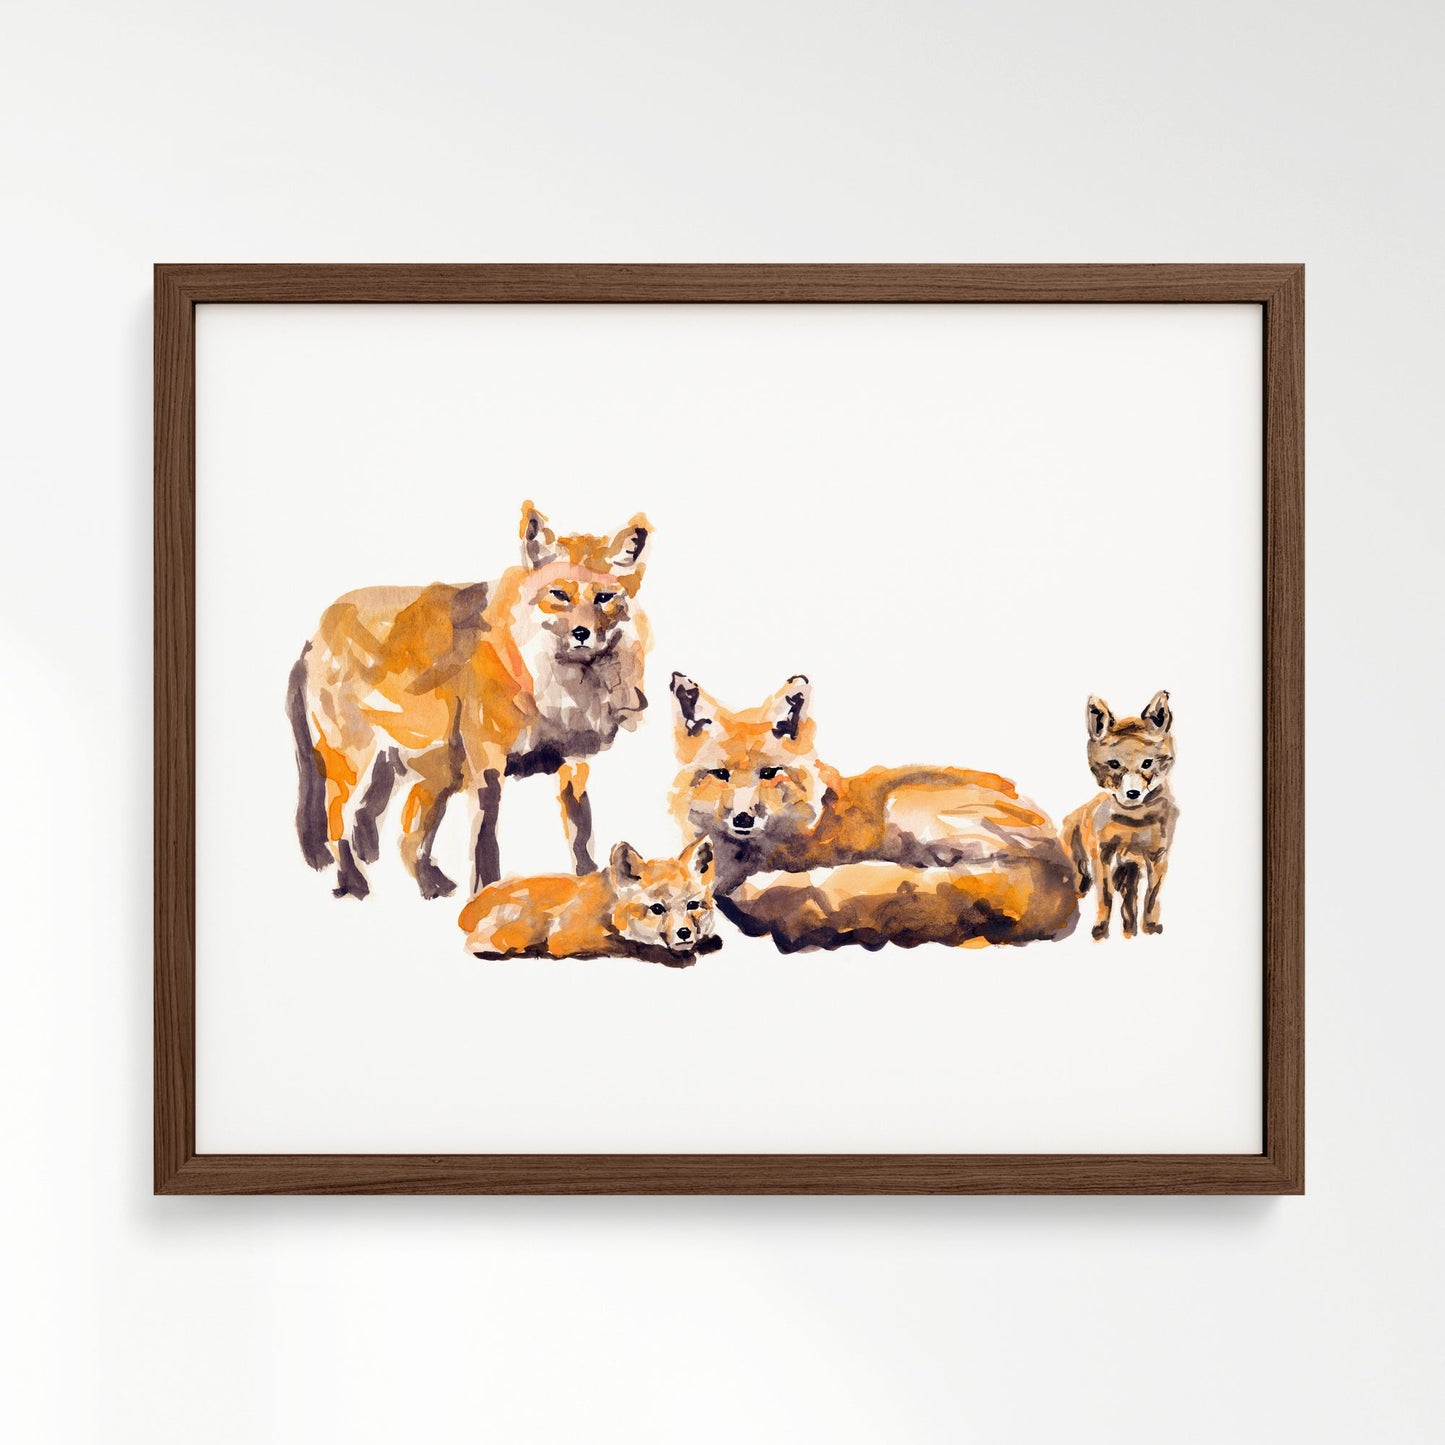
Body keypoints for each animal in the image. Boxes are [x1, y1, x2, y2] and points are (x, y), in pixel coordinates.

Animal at [287, 501, 652, 901]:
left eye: (603, 598)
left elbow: (580, 831)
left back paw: (420, 881)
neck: (558, 694)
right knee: (340, 822)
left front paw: (588, 881)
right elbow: (485, 840)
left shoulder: (575, 762)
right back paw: (356, 884)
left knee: (383, 827)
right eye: (559, 595)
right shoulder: (486, 762)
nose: (582, 633)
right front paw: (487, 891)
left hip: (420, 767)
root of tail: (316, 630)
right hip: (361, 763)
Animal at [458, 837, 719, 966]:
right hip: (524, 927)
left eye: (693, 905)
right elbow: (629, 945)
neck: (610, 907)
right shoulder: (566, 935)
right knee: (481, 945)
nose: (684, 933)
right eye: (657, 909)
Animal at [1062, 691, 1179, 940]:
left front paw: (1150, 926)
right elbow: (1105, 897)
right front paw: (1101, 929)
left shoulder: (1157, 856)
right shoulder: (1102, 856)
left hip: (1129, 873)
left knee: (1129, 905)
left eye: (1147, 763)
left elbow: (1151, 898)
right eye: (1114, 764)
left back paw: (1130, 929)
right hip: (1082, 872)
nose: (1133, 793)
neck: (1133, 824)